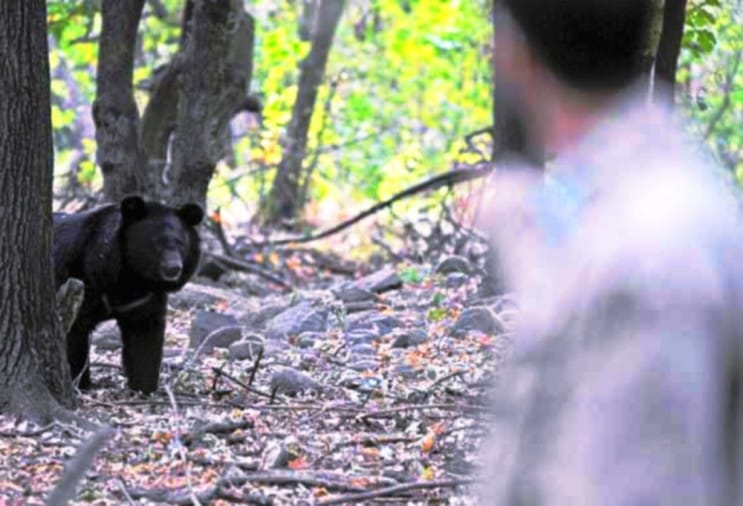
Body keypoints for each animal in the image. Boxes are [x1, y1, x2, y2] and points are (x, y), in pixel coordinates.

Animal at [53, 195, 204, 394]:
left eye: (180, 243)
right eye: (155, 242)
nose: (173, 268)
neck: (131, 277)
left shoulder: (145, 299)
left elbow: (144, 338)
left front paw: (144, 387)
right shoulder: (80, 280)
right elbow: (74, 332)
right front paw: (80, 383)